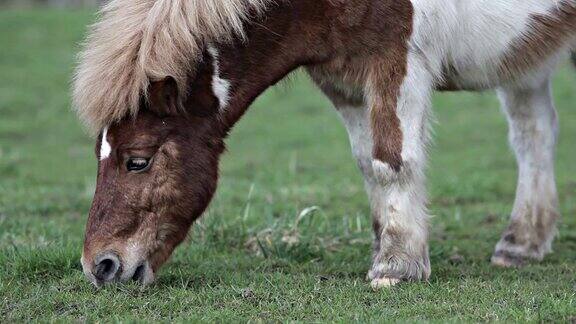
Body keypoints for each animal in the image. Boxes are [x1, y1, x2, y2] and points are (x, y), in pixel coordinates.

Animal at [73, 0, 576, 288]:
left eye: (138, 161)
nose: (100, 267)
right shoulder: (344, 80)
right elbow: (367, 162)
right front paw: (387, 247)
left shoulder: (397, 62)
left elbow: (391, 159)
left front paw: (396, 266)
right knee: (534, 135)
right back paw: (522, 242)